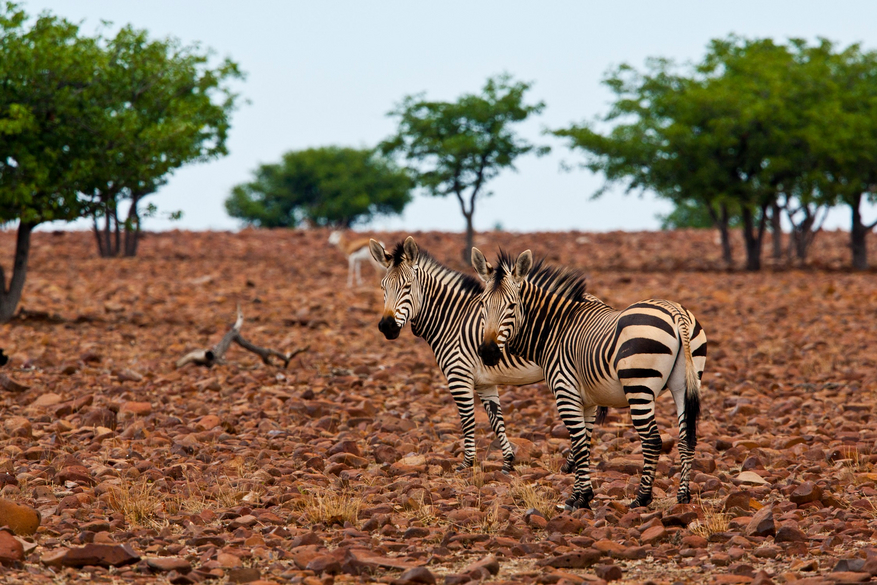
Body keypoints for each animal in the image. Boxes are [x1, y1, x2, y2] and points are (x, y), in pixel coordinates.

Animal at [366, 235, 600, 472]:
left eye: (407, 286)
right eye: (383, 287)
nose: (387, 326)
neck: (452, 320)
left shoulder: (458, 377)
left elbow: (468, 420)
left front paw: (466, 463)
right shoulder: (484, 382)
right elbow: (496, 421)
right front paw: (507, 462)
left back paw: (572, 463)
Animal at [472, 246, 704, 506]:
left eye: (512, 306)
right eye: (482, 304)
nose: (488, 352)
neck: (555, 329)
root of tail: (676, 313)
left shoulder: (565, 391)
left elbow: (579, 442)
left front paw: (581, 498)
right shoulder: (589, 400)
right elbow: (585, 441)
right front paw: (580, 494)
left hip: (639, 385)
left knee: (652, 440)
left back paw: (642, 498)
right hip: (684, 384)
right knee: (687, 437)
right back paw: (683, 495)